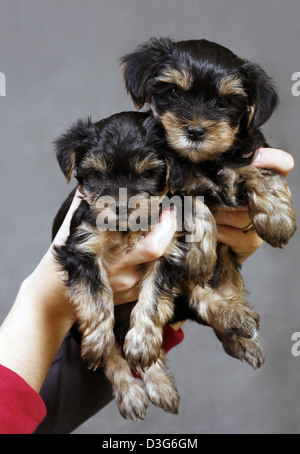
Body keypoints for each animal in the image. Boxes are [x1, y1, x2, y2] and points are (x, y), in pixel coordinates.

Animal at [120, 36, 296, 368]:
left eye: (224, 103)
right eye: (174, 92)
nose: (196, 131)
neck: (205, 161)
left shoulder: (252, 149)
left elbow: (263, 170)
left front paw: (277, 219)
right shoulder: (168, 189)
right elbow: (195, 205)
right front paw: (200, 254)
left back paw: (240, 328)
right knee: (196, 296)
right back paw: (236, 321)